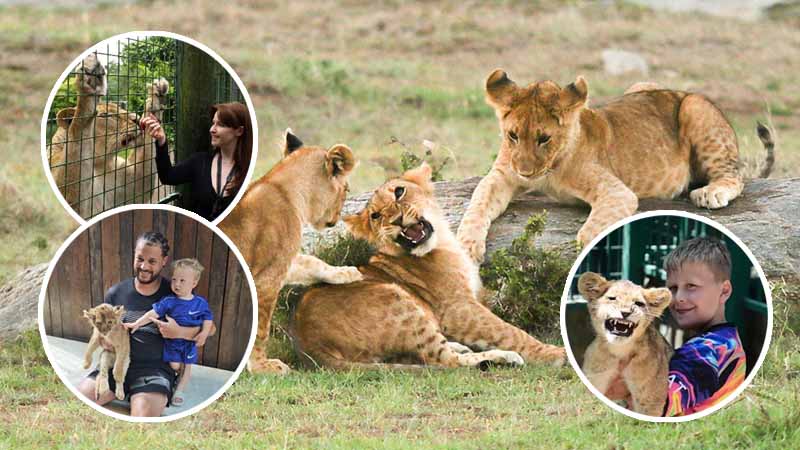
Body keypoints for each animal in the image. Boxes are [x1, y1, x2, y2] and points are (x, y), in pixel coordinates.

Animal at [219, 130, 363, 374]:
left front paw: (347, 273)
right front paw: (262, 366)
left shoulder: (285, 262)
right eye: (347, 190)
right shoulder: (267, 277)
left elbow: (312, 262)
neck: (286, 191)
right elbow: (260, 329)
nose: (337, 218)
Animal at [292, 163, 566, 370]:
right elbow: (510, 332)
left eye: (399, 192)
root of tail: (309, 344)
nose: (396, 219)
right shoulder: (458, 309)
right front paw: (554, 353)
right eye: (375, 216)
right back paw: (504, 357)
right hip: (398, 300)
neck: (444, 242)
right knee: (442, 359)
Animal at [457, 70, 776, 262]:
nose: (524, 172)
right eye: (512, 135)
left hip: (695, 109)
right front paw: (466, 245)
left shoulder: (617, 192)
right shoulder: (501, 176)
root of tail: (683, 92)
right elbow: (478, 202)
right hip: (642, 86)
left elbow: (589, 234)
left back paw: (711, 192)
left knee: (734, 175)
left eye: (544, 138)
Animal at [577, 272, 672, 416]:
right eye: (612, 298)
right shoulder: (595, 380)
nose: (626, 312)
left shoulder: (650, 398)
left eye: (638, 303)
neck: (620, 350)